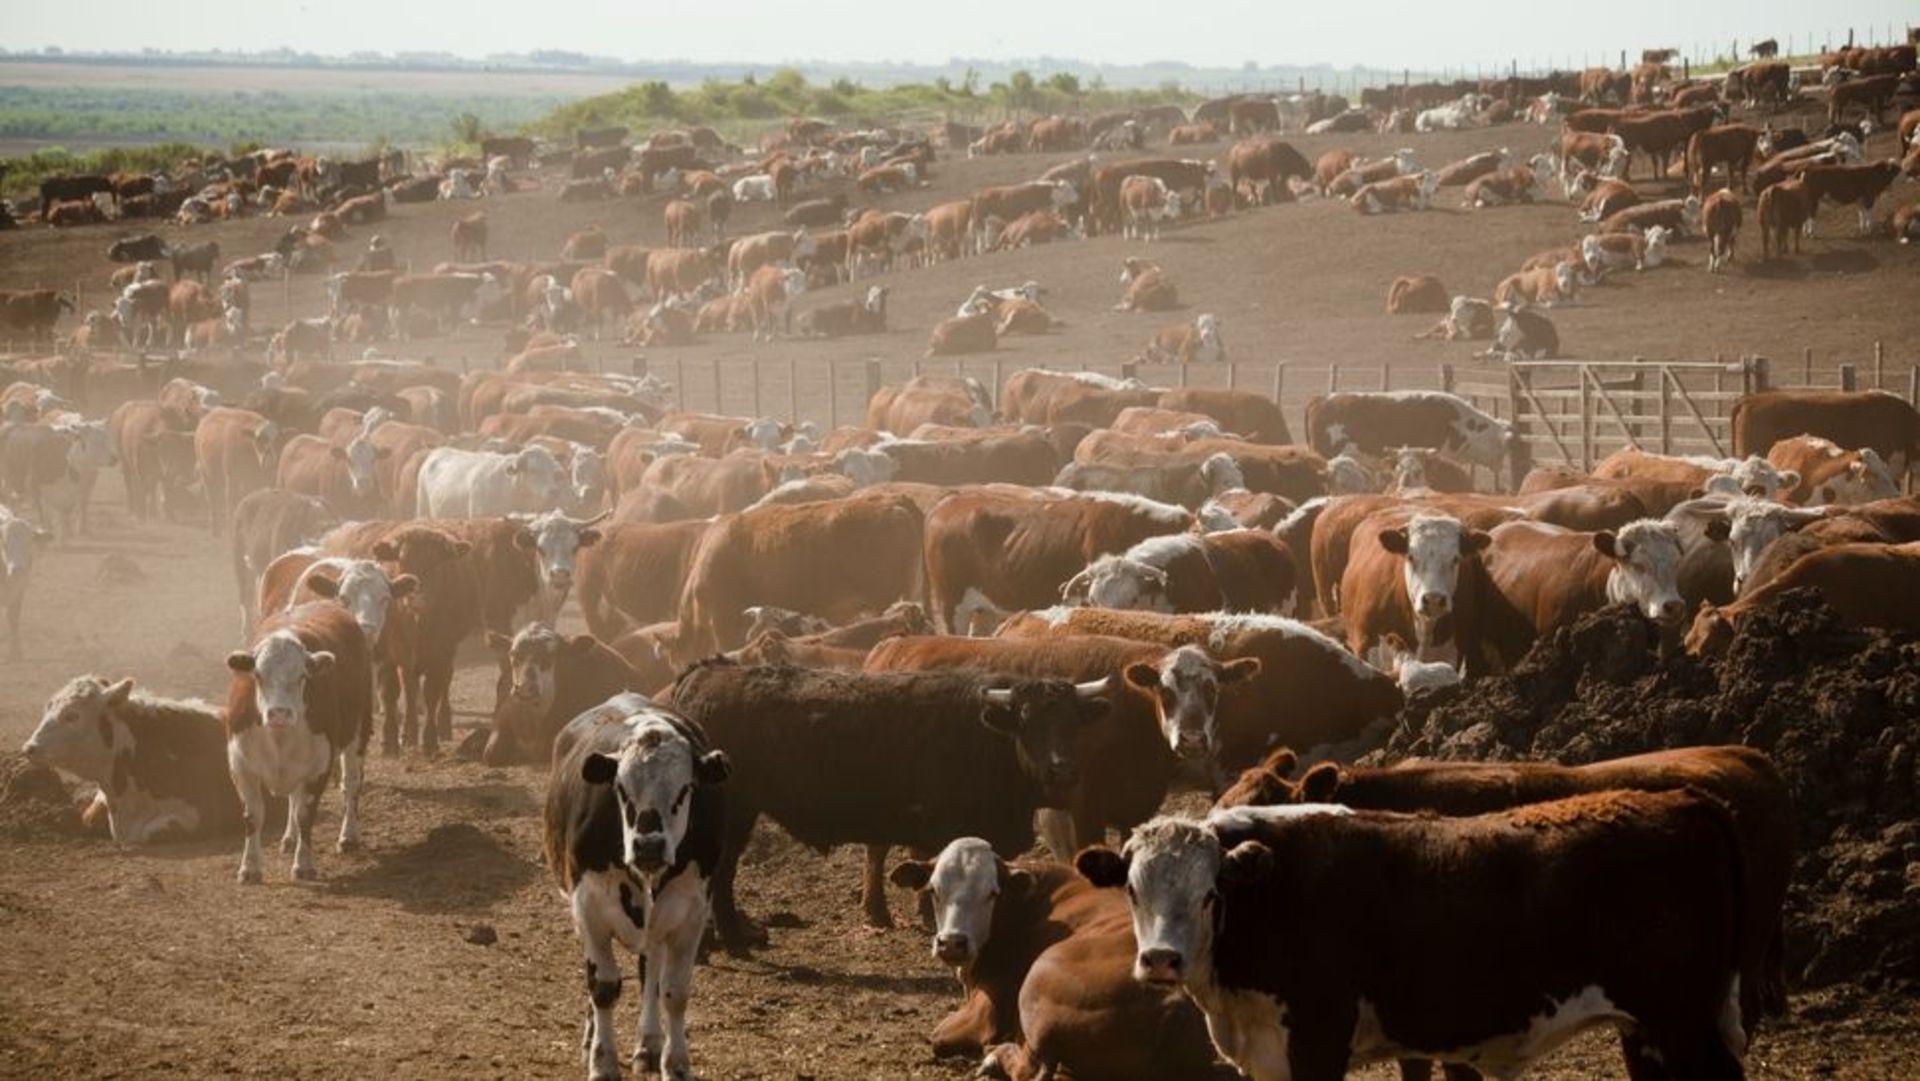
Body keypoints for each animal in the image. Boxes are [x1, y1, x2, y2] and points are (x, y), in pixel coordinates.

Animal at [545, 695, 729, 1081]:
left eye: (686, 789)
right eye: (621, 789)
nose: (649, 846)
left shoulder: (692, 913)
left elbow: (674, 991)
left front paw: (676, 1063)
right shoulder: (587, 908)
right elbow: (602, 987)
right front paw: (602, 1062)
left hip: (658, 925)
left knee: (651, 975)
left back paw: (648, 1043)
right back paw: (590, 1040)